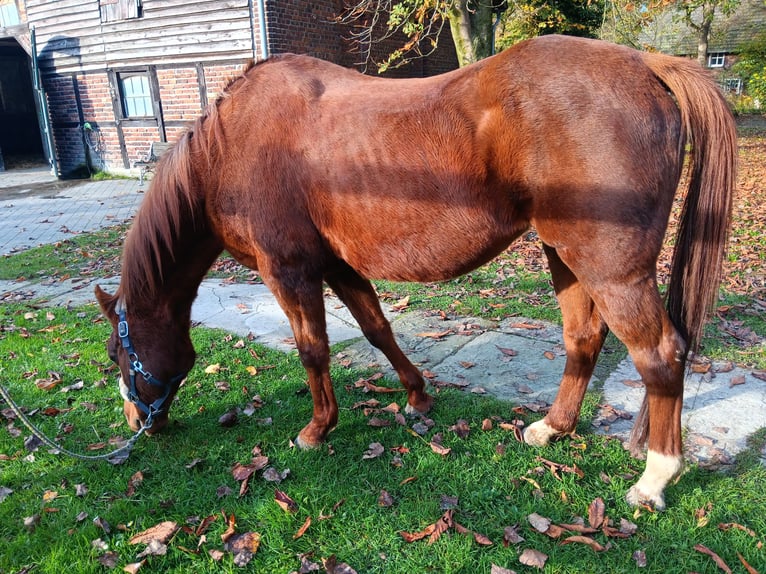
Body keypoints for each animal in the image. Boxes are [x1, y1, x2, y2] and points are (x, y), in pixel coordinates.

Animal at [96, 36, 736, 510]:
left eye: (117, 352)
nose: (136, 422)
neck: (231, 146)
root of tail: (646, 63)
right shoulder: (339, 266)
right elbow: (378, 330)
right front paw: (417, 397)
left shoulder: (291, 272)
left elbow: (313, 350)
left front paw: (316, 430)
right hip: (565, 256)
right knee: (584, 338)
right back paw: (551, 429)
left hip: (610, 268)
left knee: (660, 354)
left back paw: (654, 479)